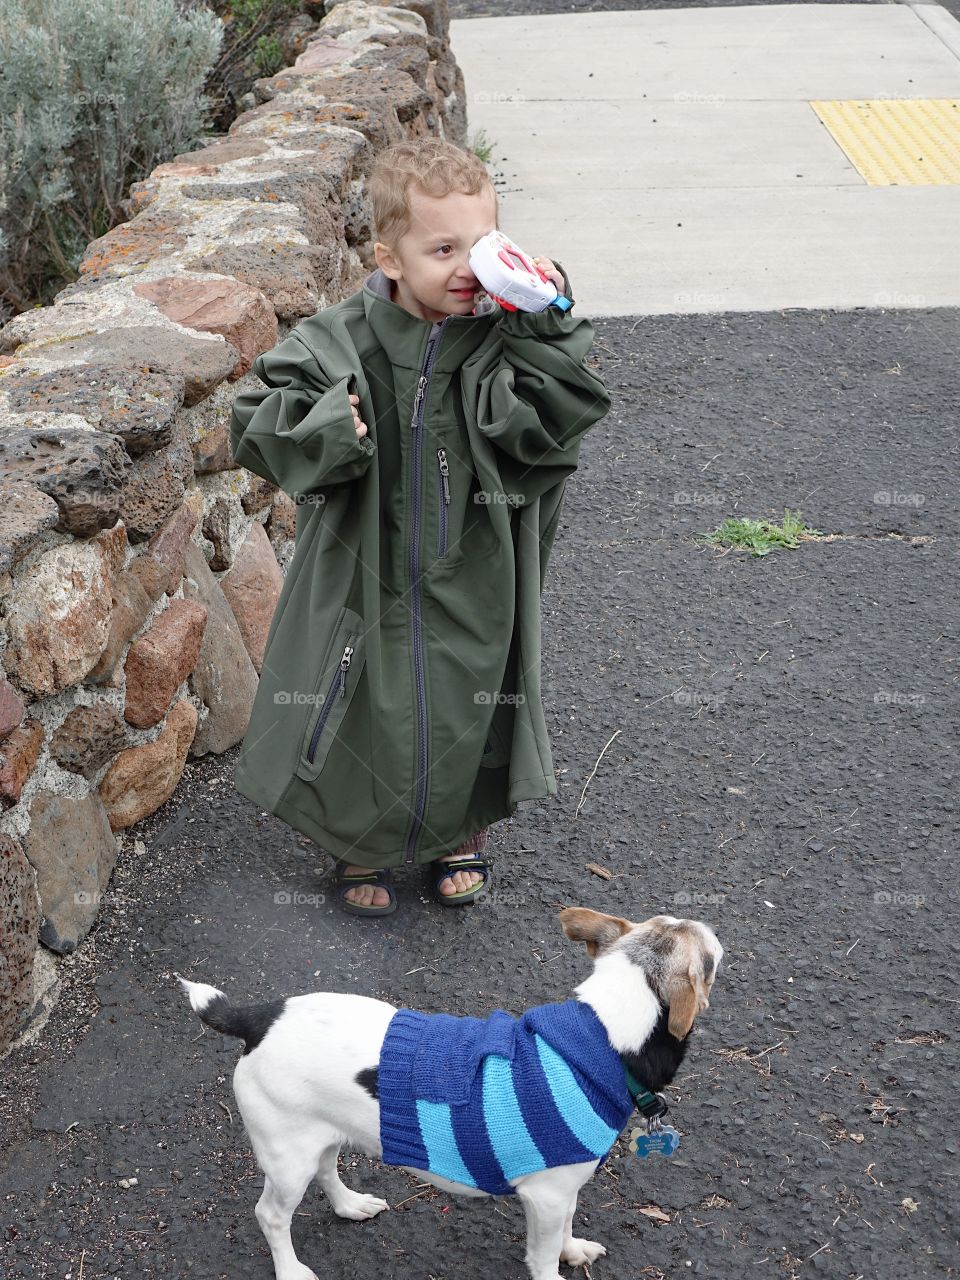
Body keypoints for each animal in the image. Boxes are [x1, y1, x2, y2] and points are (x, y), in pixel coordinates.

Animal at [179, 906, 721, 1280]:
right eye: (710, 959)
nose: (710, 925)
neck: (602, 1035)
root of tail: (258, 1017)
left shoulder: (564, 1188)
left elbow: (567, 1227)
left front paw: (574, 1250)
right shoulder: (546, 1198)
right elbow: (545, 1255)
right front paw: (557, 1264)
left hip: (320, 1137)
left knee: (326, 1172)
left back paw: (350, 1205)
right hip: (287, 1160)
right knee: (271, 1215)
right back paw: (291, 1270)